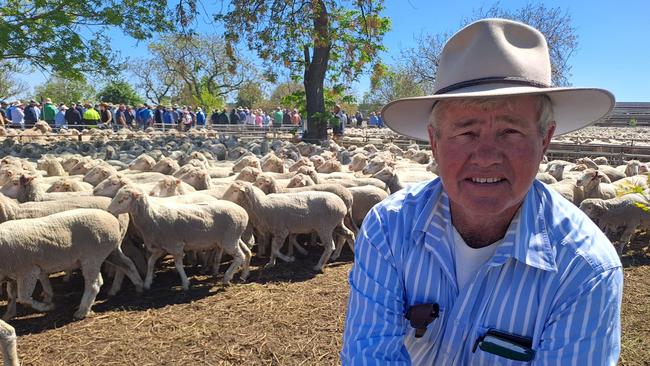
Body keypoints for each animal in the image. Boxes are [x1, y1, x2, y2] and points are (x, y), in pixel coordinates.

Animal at [0, 209, 142, 320]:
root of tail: (114, 221)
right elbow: (11, 296)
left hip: (92, 257)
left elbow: (24, 298)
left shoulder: (28, 271)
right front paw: (8, 315)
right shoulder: (12, 275)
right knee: (128, 264)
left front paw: (47, 306)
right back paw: (139, 285)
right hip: (112, 251)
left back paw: (82, 311)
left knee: (94, 284)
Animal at [106, 187, 251, 290]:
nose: (108, 211)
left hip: (228, 240)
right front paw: (148, 282)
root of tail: (243, 212)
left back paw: (226, 278)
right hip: (233, 238)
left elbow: (178, 265)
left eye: (124, 198)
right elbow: (151, 263)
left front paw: (185, 284)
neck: (151, 217)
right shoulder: (160, 247)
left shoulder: (175, 245)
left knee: (239, 256)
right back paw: (243, 276)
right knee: (246, 253)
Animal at [223, 181, 354, 272]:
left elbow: (275, 249)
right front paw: (271, 264)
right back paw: (353, 253)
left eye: (235, 191)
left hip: (325, 227)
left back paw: (318, 266)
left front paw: (289, 259)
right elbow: (274, 248)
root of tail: (342, 204)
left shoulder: (282, 231)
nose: (222, 199)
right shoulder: (277, 232)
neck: (260, 206)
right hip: (337, 224)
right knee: (350, 234)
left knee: (330, 246)